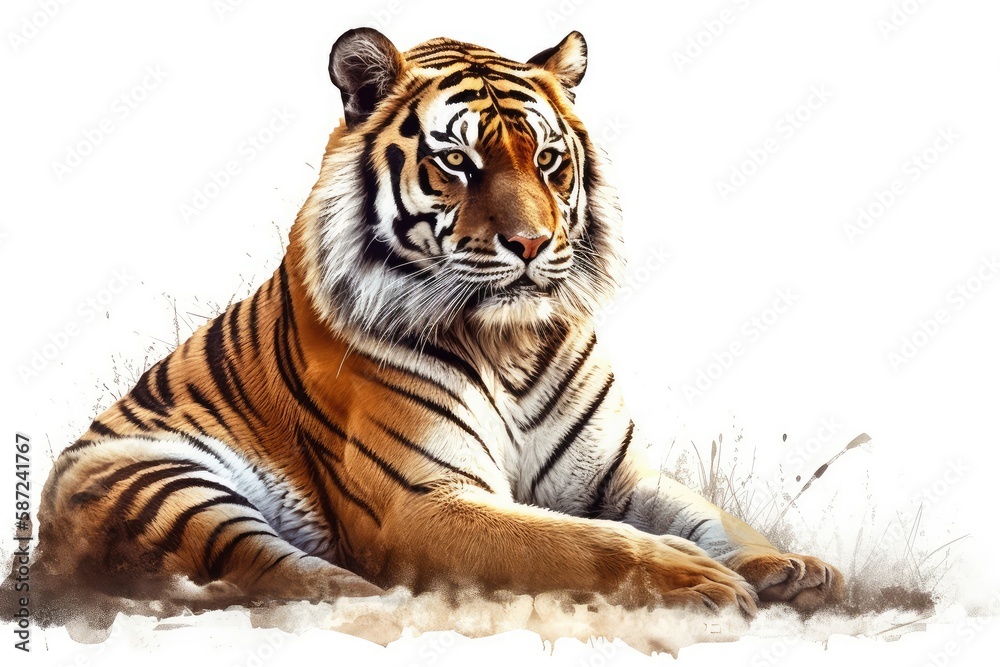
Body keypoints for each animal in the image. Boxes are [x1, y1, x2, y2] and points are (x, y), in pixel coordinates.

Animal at [28, 28, 843, 623]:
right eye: (457, 162)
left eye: (550, 159)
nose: (532, 243)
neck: (511, 344)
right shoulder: (422, 500)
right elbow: (577, 544)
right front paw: (694, 576)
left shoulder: (616, 473)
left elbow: (711, 515)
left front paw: (790, 566)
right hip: (161, 482)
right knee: (272, 572)